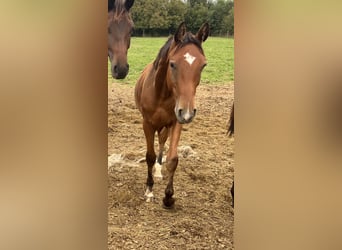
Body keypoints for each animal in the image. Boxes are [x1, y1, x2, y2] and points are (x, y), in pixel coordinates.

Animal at [135, 22, 210, 209]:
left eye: (203, 65)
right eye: (173, 64)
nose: (188, 112)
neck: (161, 93)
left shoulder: (177, 122)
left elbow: (173, 159)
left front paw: (168, 196)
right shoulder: (147, 124)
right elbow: (149, 156)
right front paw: (149, 191)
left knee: (162, 142)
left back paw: (159, 172)